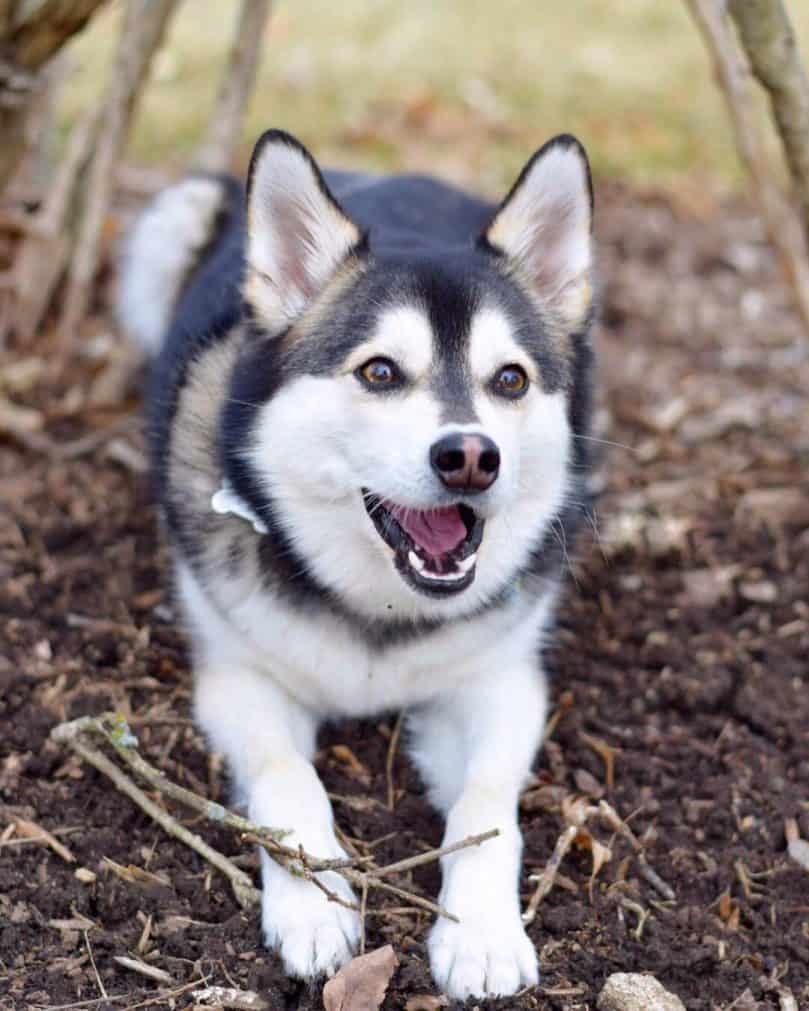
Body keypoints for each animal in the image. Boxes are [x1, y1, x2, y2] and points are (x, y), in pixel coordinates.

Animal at [118, 128, 594, 1002]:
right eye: (379, 371)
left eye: (509, 379)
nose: (470, 456)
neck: (382, 609)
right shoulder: (238, 677)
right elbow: (287, 777)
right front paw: (313, 901)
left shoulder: (501, 682)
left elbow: (487, 805)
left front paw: (480, 931)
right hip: (170, 222)